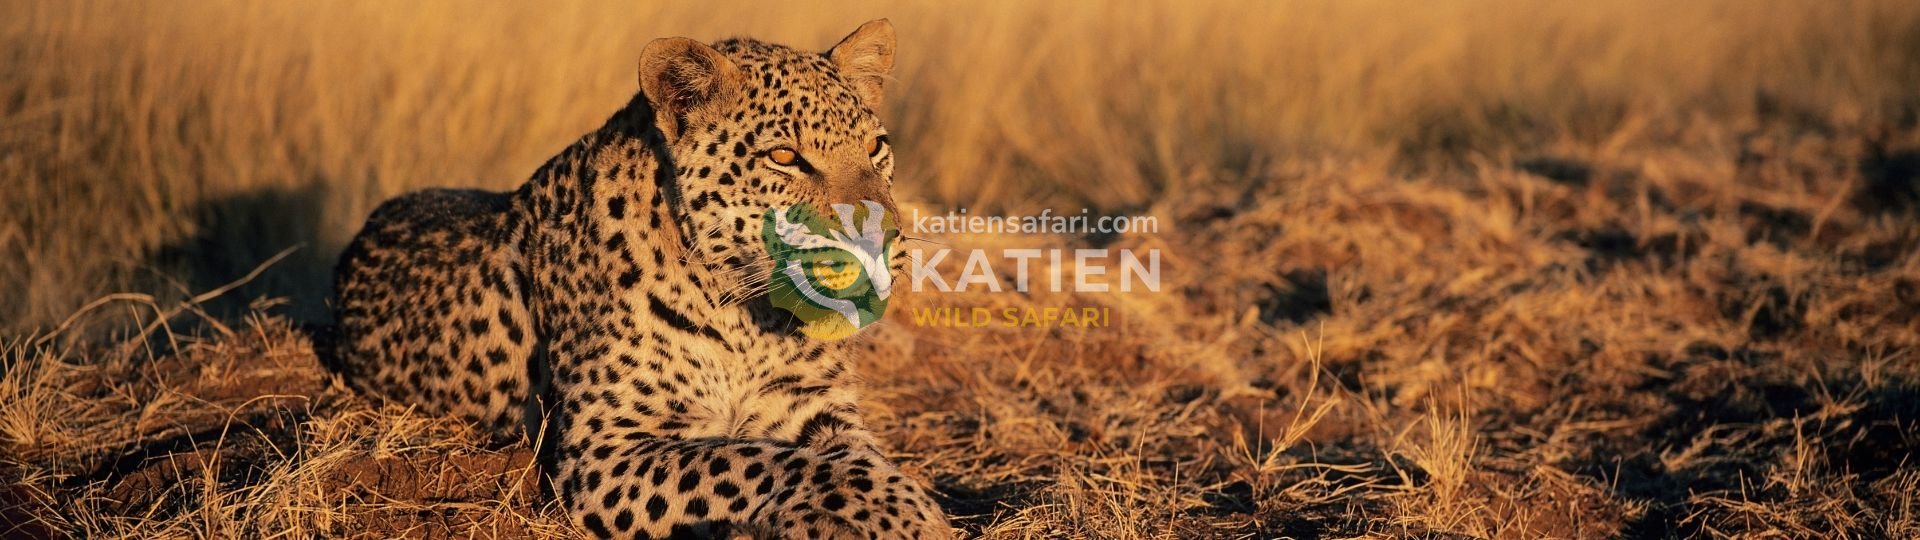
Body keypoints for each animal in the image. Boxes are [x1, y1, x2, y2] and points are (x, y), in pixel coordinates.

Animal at [327, 20, 954, 539]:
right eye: (784, 157)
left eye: (876, 147)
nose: (883, 240)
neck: (748, 318)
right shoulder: (607, 445)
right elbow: (755, 459)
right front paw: (907, 511)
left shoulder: (816, 407)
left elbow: (859, 459)